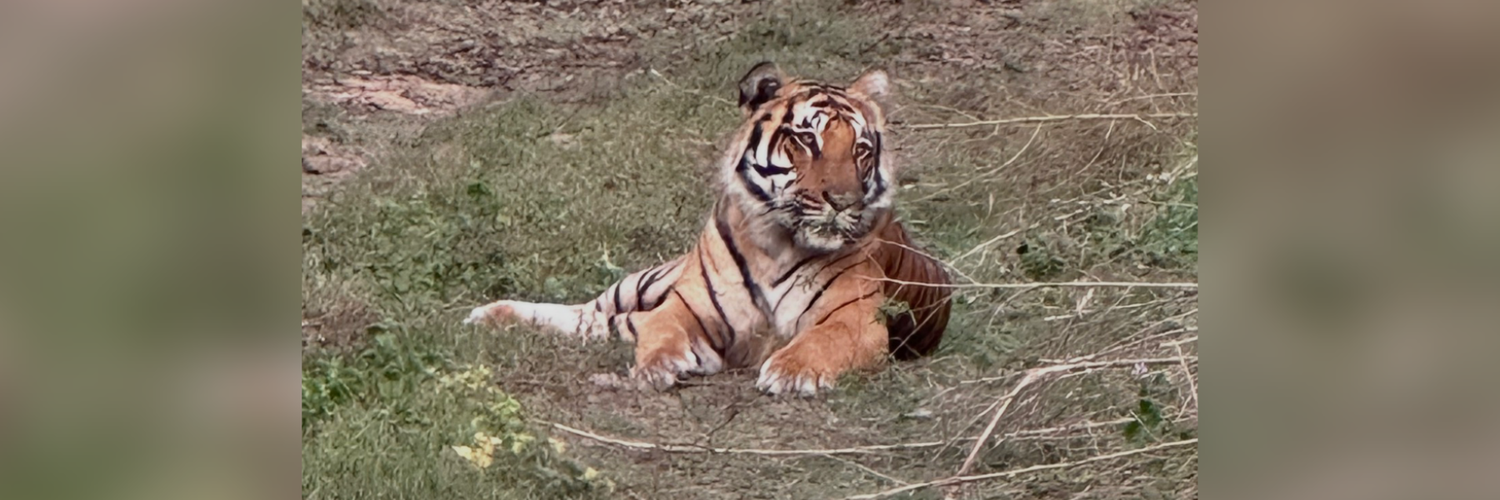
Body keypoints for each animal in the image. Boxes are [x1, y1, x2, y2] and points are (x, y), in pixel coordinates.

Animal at [465, 62, 952, 396]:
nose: (844, 202)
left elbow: (824, 340)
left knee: (601, 323)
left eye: (861, 150)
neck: (777, 244)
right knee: (589, 312)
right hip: (641, 283)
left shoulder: (856, 320)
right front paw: (662, 364)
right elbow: (662, 329)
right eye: (806, 140)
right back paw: (489, 313)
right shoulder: (686, 306)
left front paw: (790, 371)